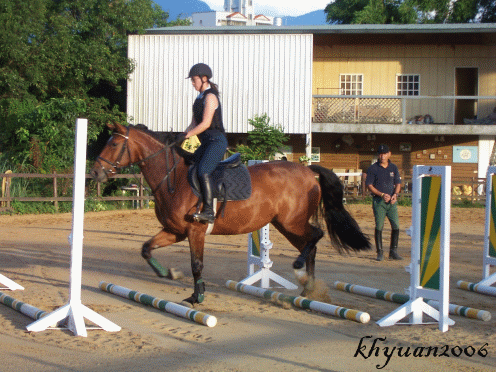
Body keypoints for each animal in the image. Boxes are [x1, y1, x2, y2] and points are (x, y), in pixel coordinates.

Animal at [89, 123, 370, 306]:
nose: (94, 173)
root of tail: (308, 171)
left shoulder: (195, 231)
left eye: (114, 143)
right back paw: (308, 289)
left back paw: (301, 273)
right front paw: (169, 274)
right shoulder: (174, 231)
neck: (174, 179)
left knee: (315, 237)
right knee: (309, 246)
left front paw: (197, 296)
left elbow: (197, 264)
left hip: (293, 222)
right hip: (285, 224)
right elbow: (146, 249)